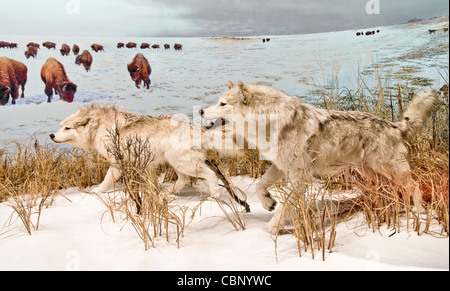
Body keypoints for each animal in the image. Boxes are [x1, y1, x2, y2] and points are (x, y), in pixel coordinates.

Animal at [49, 104, 223, 198]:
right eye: (60, 126)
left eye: (67, 128)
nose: (52, 135)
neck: (99, 127)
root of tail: (199, 128)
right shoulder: (146, 165)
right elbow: (151, 182)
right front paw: (154, 192)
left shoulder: (116, 164)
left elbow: (106, 180)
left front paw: (97, 191)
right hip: (177, 163)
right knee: (183, 179)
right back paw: (169, 192)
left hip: (185, 164)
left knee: (211, 175)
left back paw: (215, 195)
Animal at [202, 81, 442, 234]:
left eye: (223, 104)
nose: (201, 111)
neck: (270, 122)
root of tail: (395, 126)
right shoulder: (280, 167)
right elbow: (261, 186)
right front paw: (269, 203)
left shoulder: (299, 178)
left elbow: (286, 207)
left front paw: (271, 227)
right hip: (375, 174)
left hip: (392, 171)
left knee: (415, 187)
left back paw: (417, 214)